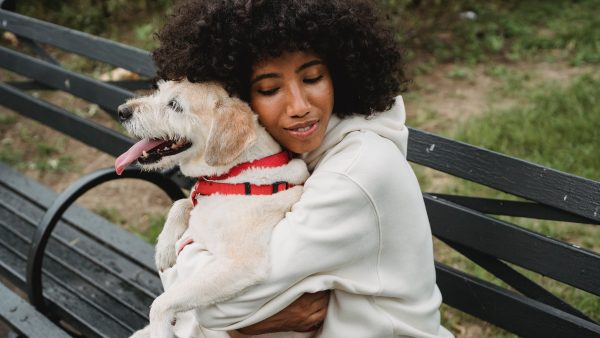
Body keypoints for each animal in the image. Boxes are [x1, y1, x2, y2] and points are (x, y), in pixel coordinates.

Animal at [116, 81, 314, 338]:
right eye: (159, 90)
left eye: (175, 105)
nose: (122, 111)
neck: (238, 173)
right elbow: (181, 203)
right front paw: (165, 249)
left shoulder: (241, 265)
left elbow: (161, 303)